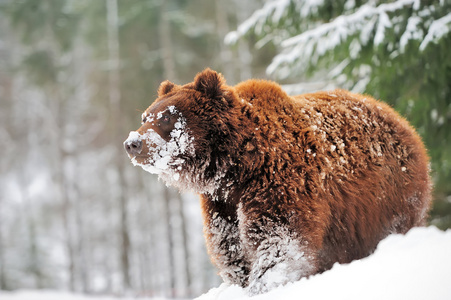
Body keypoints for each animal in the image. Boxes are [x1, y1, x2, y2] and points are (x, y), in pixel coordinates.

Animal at [124, 68, 434, 296]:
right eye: (146, 116)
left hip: (387, 196)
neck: (235, 165)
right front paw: (243, 281)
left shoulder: (280, 180)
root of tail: (401, 120)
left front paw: (264, 284)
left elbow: (280, 237)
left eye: (167, 117)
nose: (132, 143)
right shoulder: (221, 203)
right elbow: (230, 246)